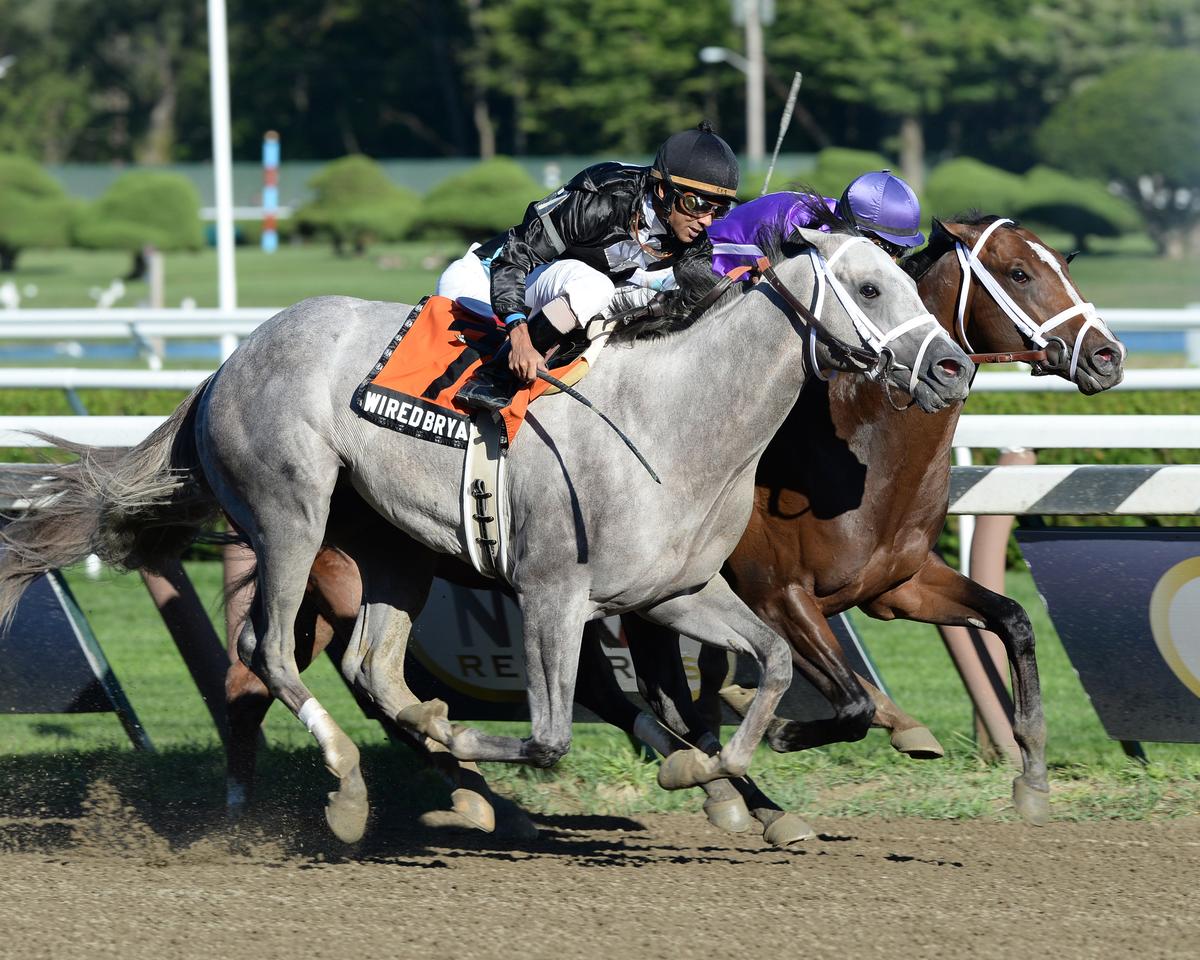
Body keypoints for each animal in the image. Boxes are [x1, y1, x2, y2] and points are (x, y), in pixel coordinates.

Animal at [0, 226, 973, 843]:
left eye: (910, 280)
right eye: (872, 286)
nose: (954, 367)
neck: (672, 424)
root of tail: (226, 364)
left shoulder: (674, 592)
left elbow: (766, 666)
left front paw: (710, 776)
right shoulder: (553, 592)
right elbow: (550, 734)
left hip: (391, 549)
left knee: (372, 668)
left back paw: (425, 750)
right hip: (289, 513)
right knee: (267, 651)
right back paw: (355, 786)